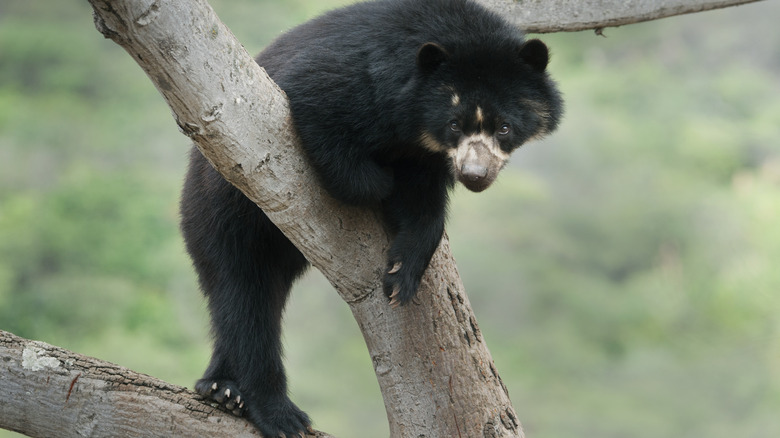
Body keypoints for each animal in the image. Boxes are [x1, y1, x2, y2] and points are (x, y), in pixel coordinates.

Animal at [181, 0, 564, 432]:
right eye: (454, 124)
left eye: (504, 128)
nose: (475, 176)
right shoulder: (354, 84)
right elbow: (318, 106)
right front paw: (378, 183)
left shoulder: (426, 156)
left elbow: (424, 209)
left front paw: (401, 277)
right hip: (221, 211)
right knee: (244, 298)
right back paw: (273, 411)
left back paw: (220, 389)